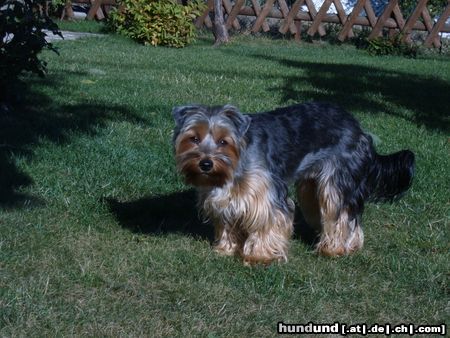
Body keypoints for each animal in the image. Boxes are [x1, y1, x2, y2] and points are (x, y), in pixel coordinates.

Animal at [172, 101, 414, 266]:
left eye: (223, 141)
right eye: (193, 138)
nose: (205, 164)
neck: (234, 164)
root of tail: (359, 128)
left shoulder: (266, 194)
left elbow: (268, 222)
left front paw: (259, 256)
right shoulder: (224, 198)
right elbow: (226, 223)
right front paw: (226, 249)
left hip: (338, 178)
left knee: (341, 212)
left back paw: (334, 249)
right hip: (310, 186)